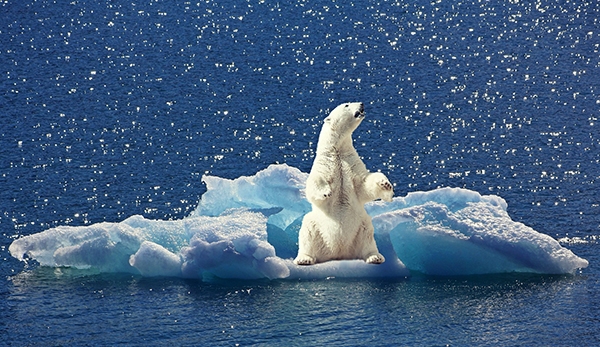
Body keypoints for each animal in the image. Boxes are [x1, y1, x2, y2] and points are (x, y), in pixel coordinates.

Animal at [294, 102, 394, 266]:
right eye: (346, 105)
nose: (361, 103)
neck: (337, 150)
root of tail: (339, 252)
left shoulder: (351, 162)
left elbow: (364, 184)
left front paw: (385, 184)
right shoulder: (325, 164)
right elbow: (315, 182)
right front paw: (326, 192)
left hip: (361, 225)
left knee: (368, 235)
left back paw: (375, 257)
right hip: (317, 226)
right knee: (307, 230)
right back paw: (304, 258)